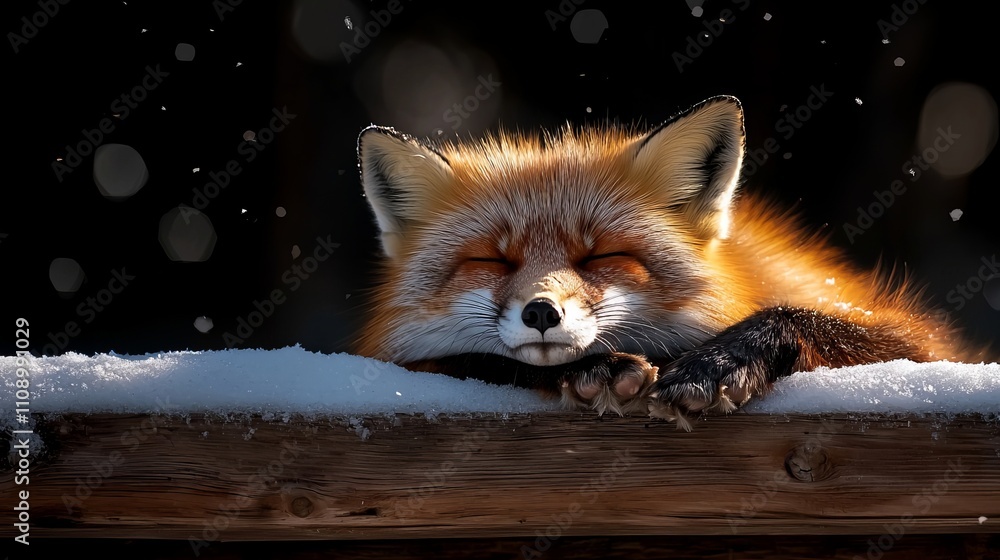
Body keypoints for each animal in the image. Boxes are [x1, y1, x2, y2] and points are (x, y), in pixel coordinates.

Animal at [353, 96, 975, 430]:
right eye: (490, 260)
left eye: (603, 254)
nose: (541, 313)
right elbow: (468, 360)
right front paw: (595, 369)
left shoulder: (923, 349)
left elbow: (800, 318)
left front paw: (721, 361)